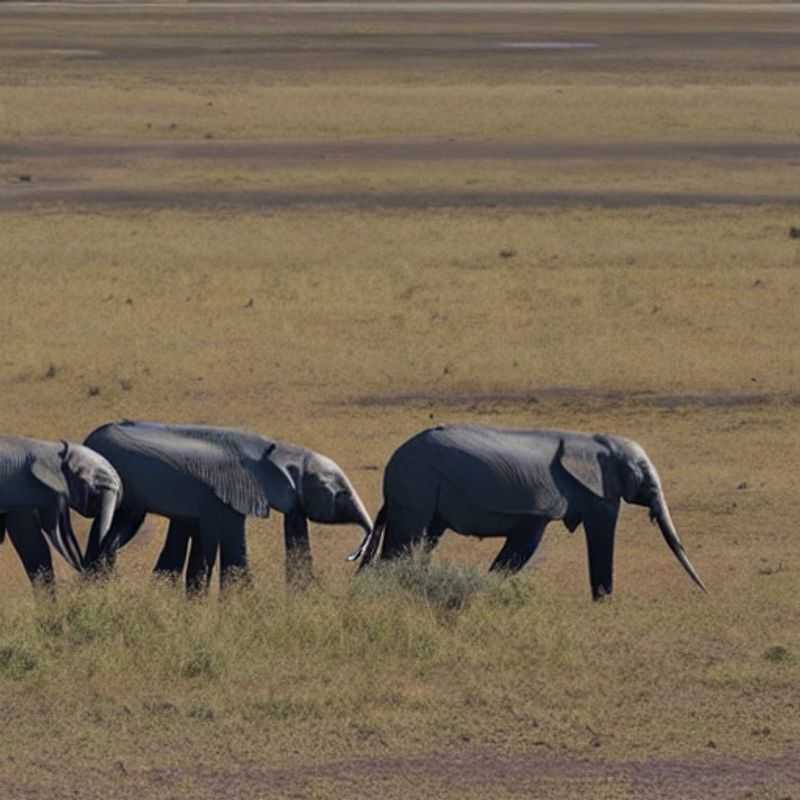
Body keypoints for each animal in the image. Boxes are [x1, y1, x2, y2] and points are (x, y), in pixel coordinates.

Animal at [83, 420, 373, 591]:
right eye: (340, 492)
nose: (352, 556)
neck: (278, 451)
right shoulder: (233, 492)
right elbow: (231, 544)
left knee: (115, 532)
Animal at [353, 424, 705, 600]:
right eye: (644, 475)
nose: (704, 591)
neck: (594, 441)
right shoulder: (572, 496)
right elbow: (529, 543)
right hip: (416, 485)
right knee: (405, 540)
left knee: (424, 540)